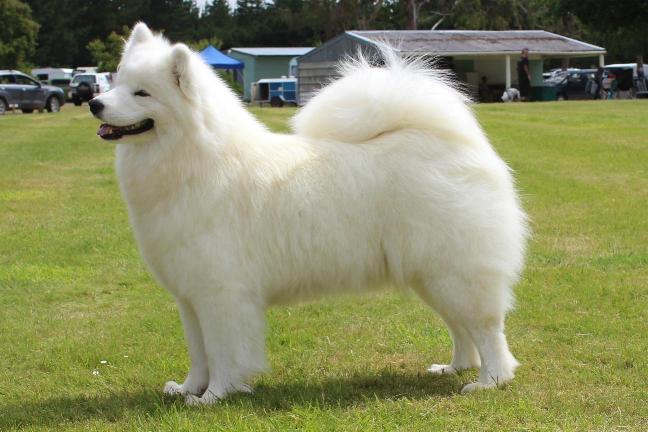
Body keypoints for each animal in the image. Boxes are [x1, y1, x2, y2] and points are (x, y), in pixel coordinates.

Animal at [89, 23, 528, 405]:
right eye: (116, 81)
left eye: (142, 93)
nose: (95, 103)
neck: (195, 162)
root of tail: (462, 146)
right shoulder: (189, 296)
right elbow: (199, 354)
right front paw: (186, 390)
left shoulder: (221, 294)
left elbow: (223, 353)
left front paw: (213, 397)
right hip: (430, 275)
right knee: (461, 330)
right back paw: (455, 368)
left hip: (452, 272)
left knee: (487, 330)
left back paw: (489, 381)